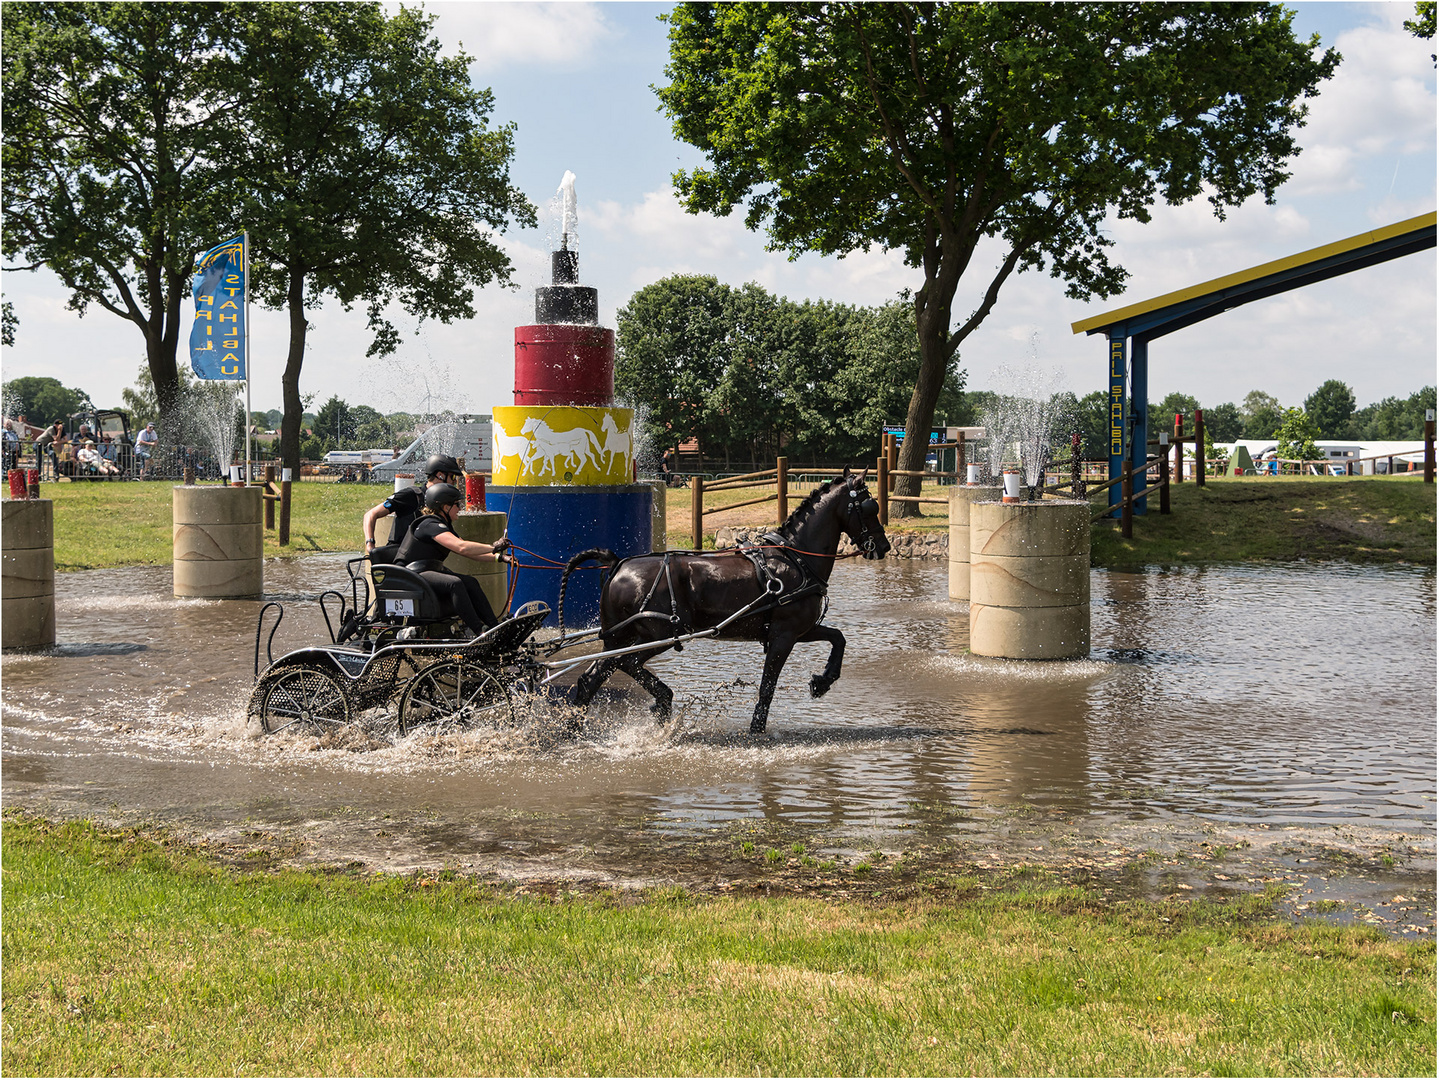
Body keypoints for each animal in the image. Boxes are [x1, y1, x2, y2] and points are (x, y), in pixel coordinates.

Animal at [561, 468, 886, 730]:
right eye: (870, 507)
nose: (883, 545)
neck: (795, 559)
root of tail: (618, 563)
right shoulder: (784, 635)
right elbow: (767, 686)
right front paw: (757, 728)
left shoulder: (800, 629)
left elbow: (838, 637)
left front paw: (823, 681)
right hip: (659, 633)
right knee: (628, 663)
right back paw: (663, 699)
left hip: (620, 637)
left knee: (592, 678)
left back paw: (574, 730)